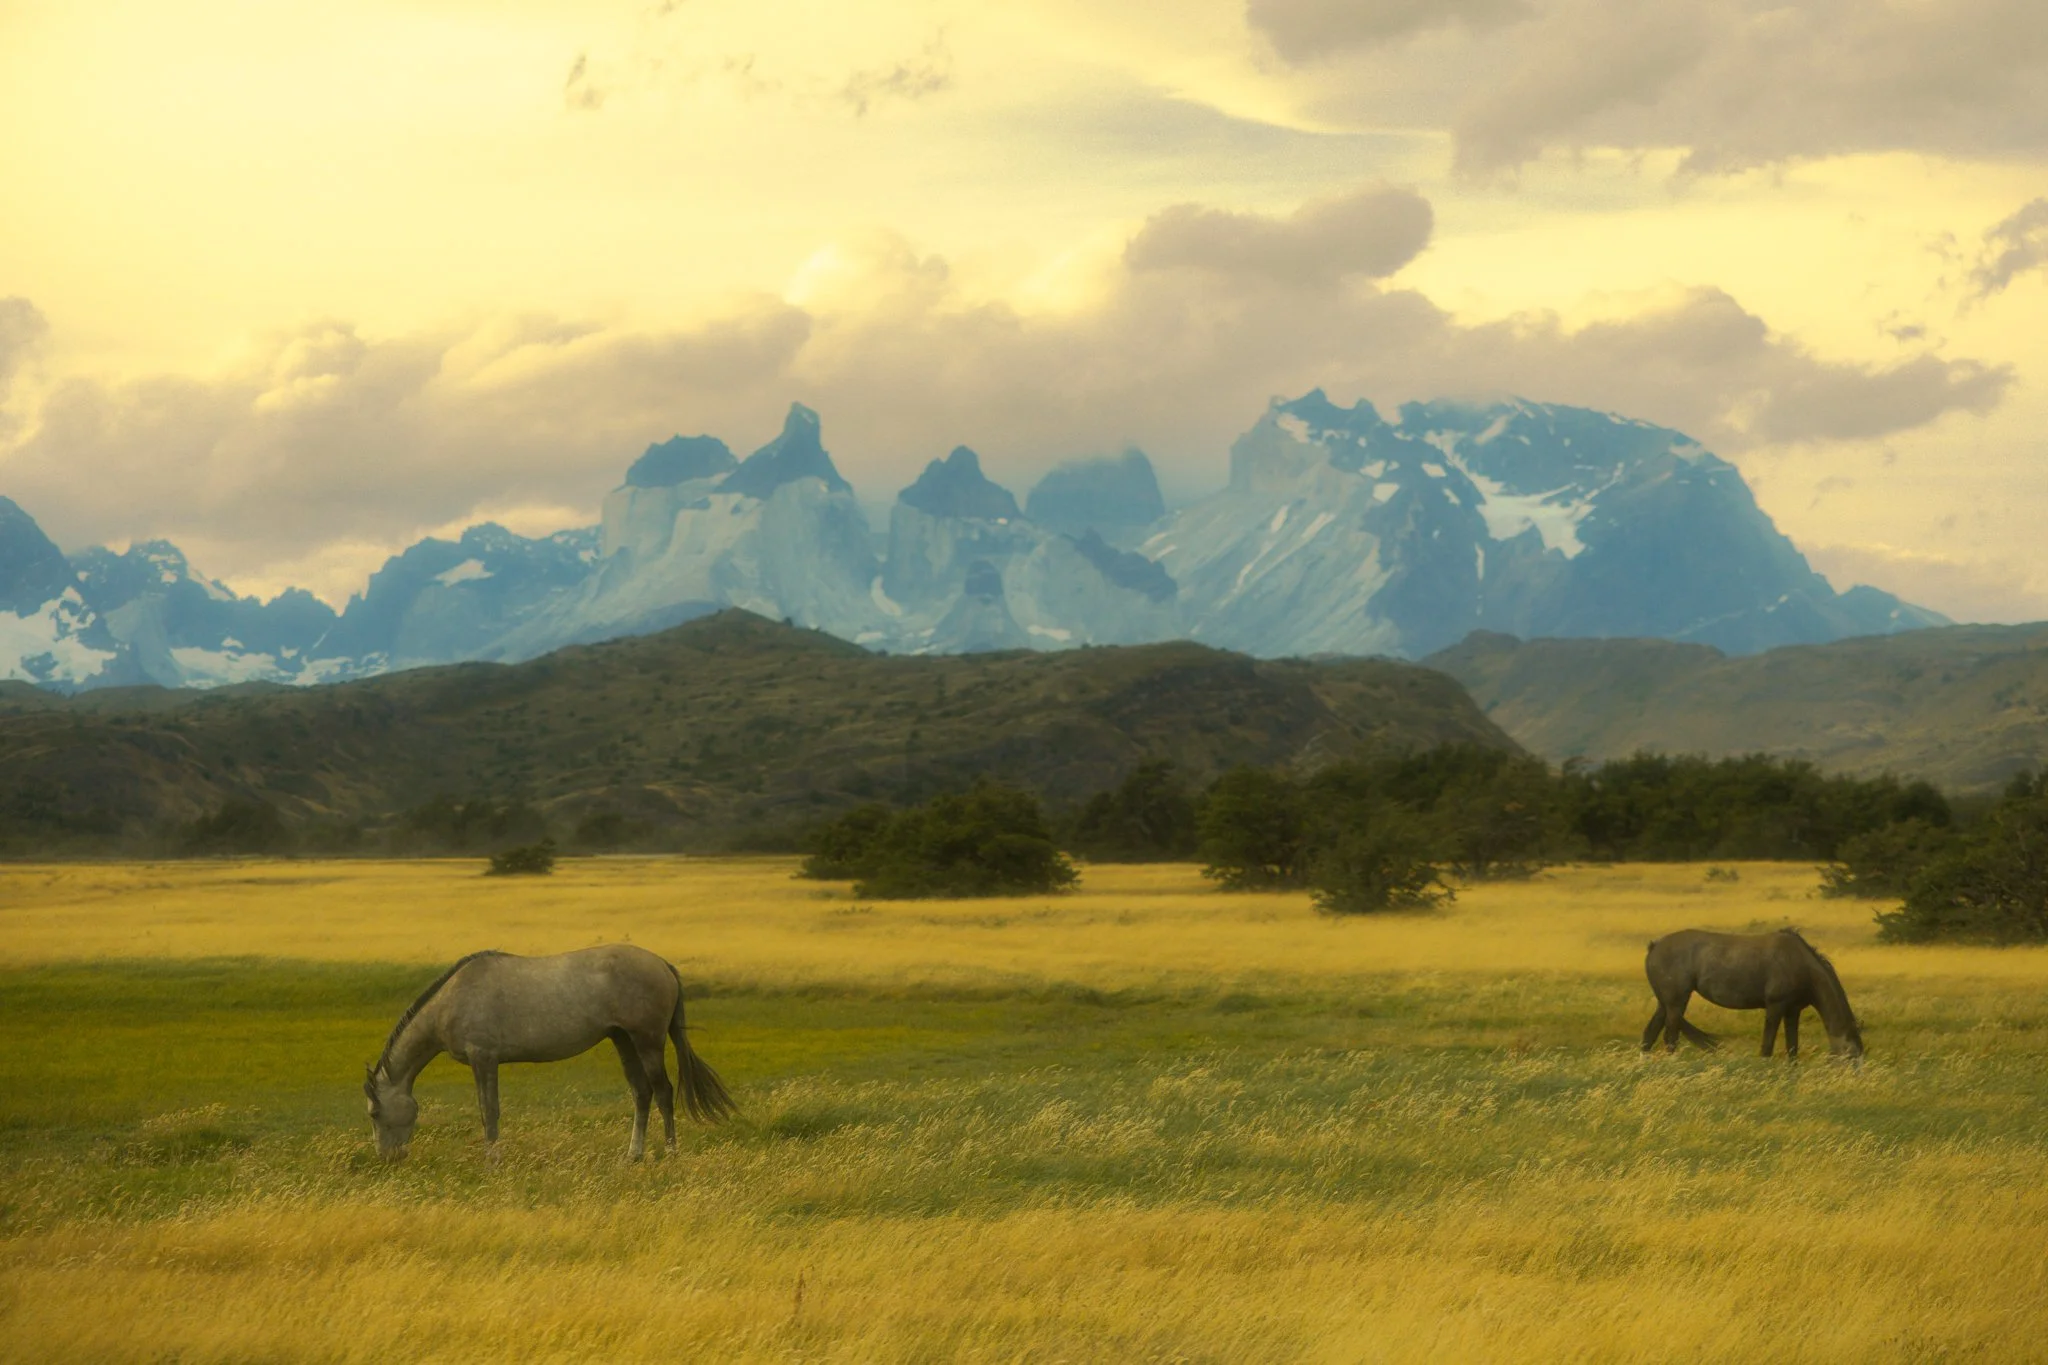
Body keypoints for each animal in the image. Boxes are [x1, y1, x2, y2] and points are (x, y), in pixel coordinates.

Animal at [363, 944, 734, 1162]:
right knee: (641, 1093)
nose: (387, 1158)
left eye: (374, 1113)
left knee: (663, 1092)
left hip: (648, 1041)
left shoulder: (483, 1058)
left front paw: (492, 1162)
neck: (453, 999)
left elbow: (489, 1111)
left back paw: (671, 1154)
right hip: (623, 1040)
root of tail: (662, 964)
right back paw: (633, 1156)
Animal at [1640, 928, 1864, 1062]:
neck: (1799, 963)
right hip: (1676, 1003)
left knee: (1650, 1034)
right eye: (1852, 1057)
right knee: (1670, 1037)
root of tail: (1654, 946)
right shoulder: (1775, 1007)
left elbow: (1792, 1046)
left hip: (1666, 1004)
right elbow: (1767, 1045)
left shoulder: (1792, 1011)